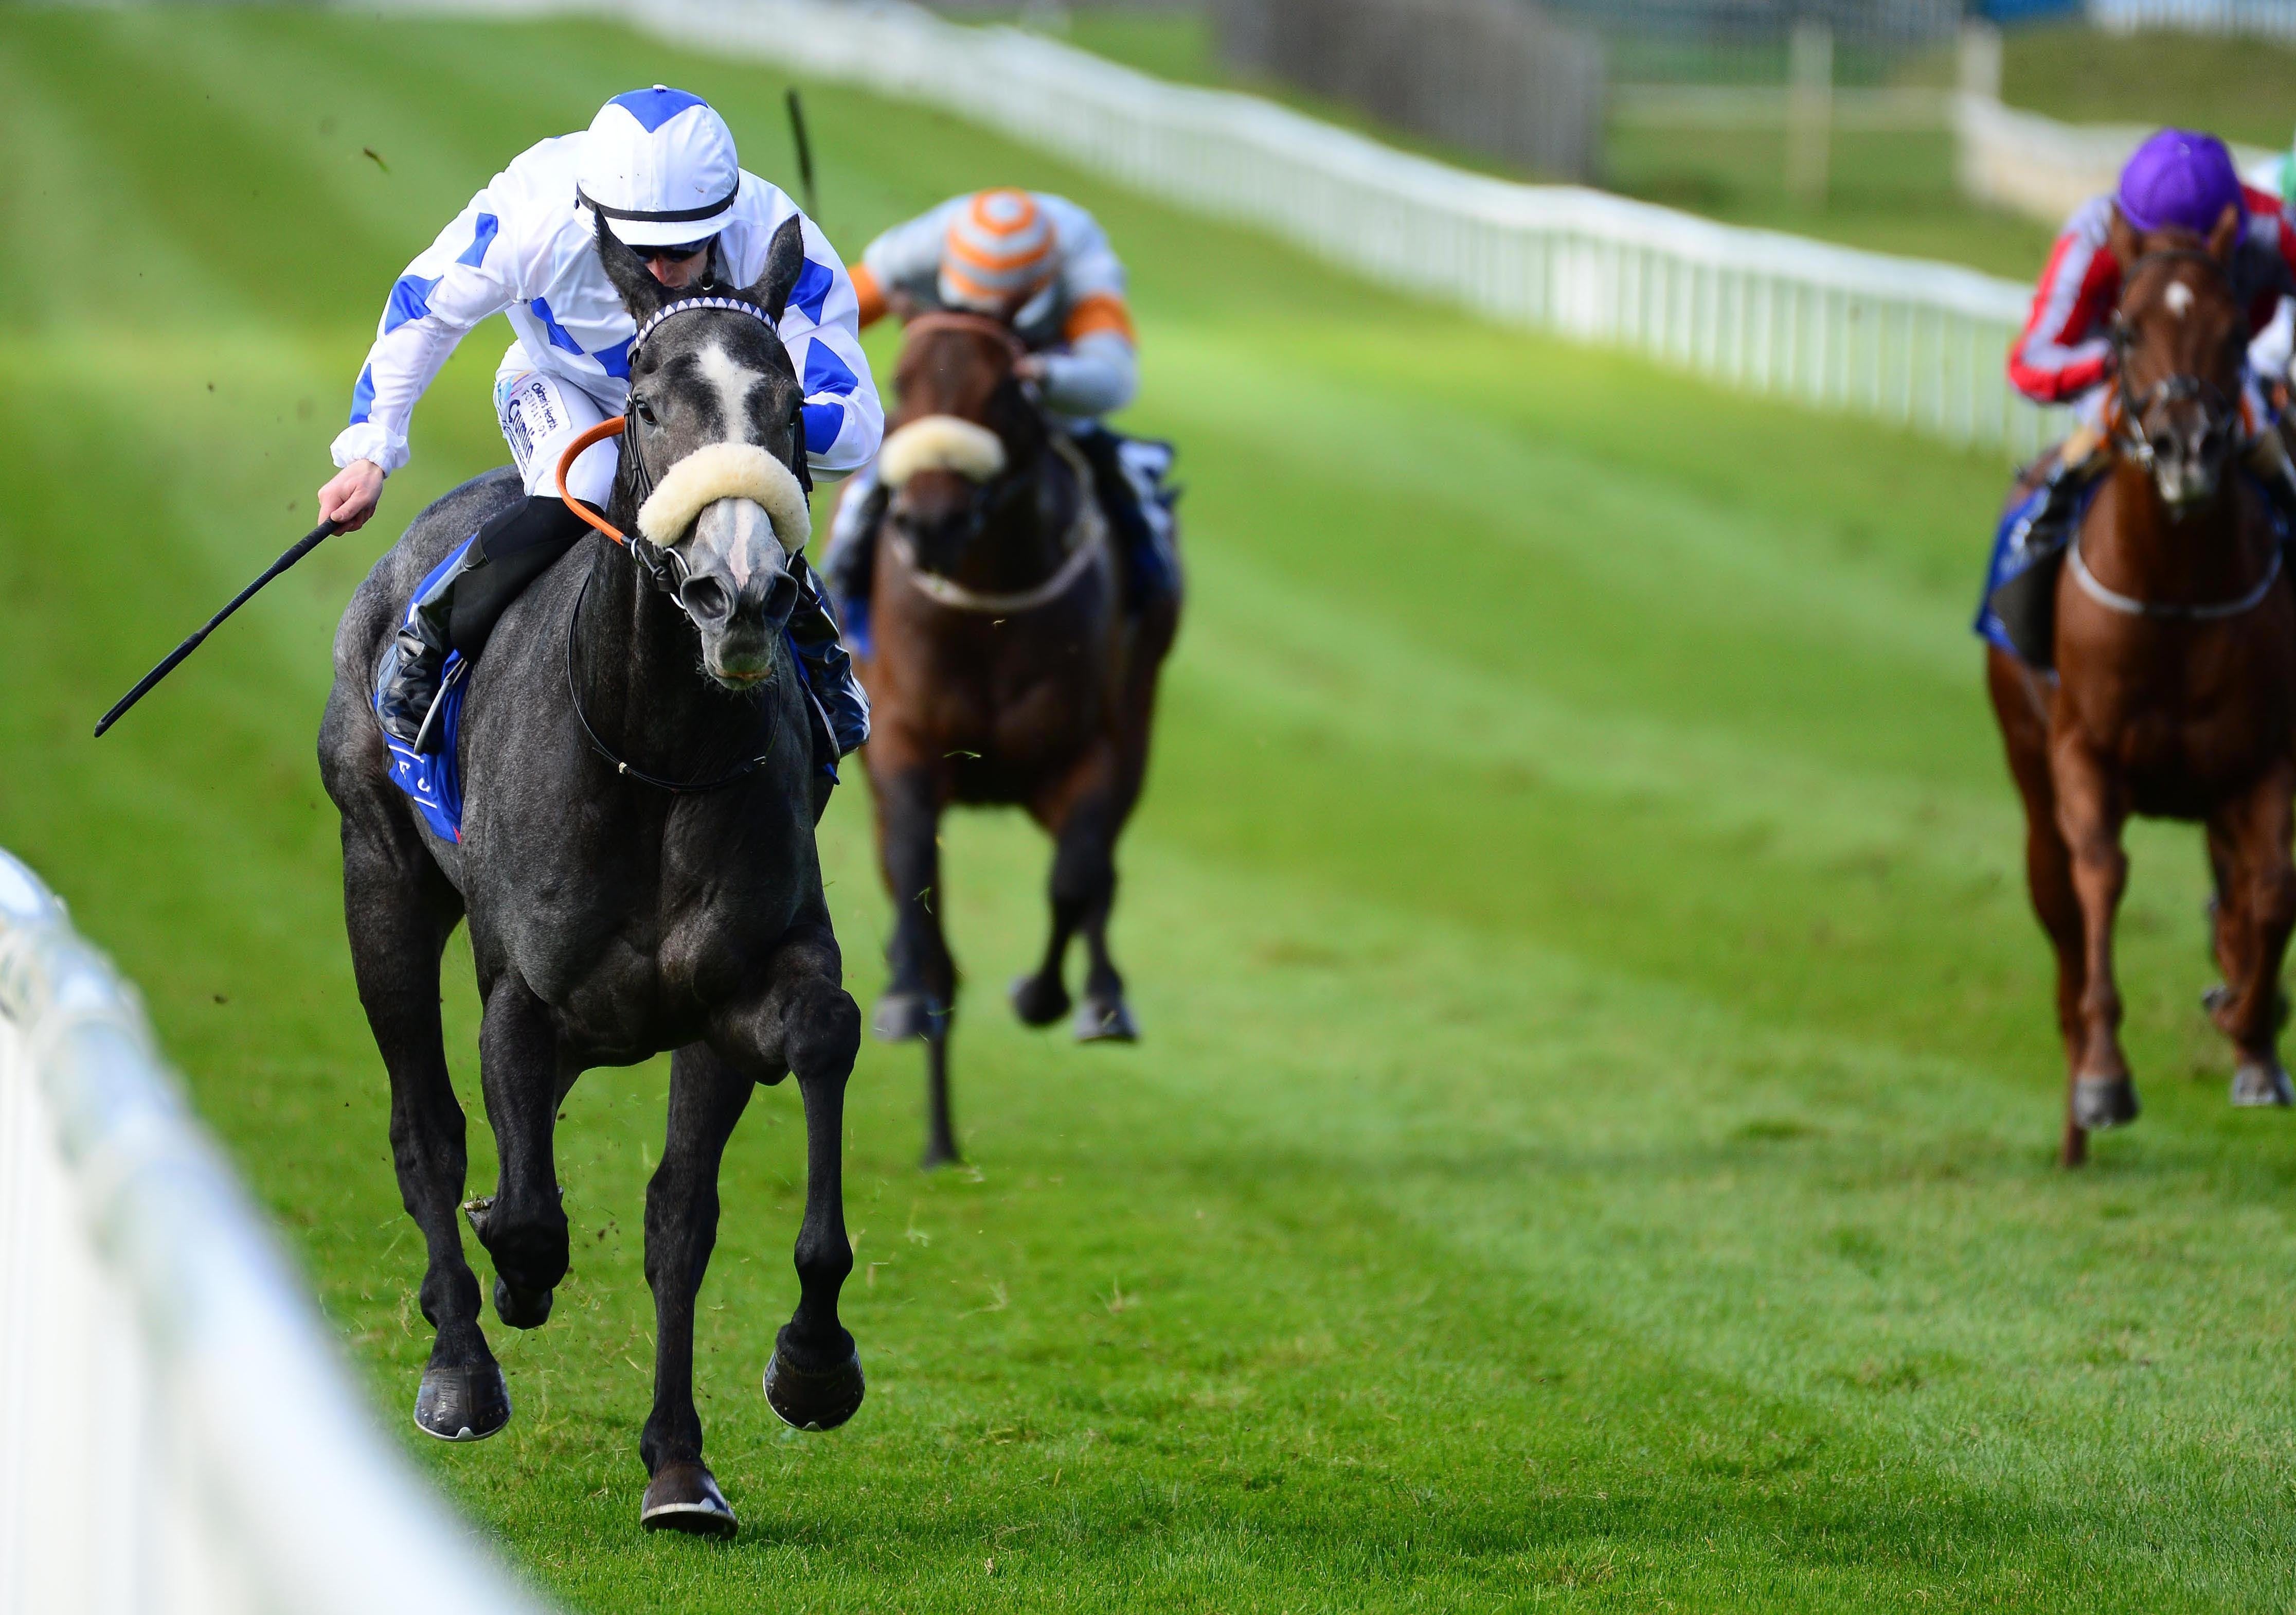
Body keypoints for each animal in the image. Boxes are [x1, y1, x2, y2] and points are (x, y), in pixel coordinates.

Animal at [319, 215, 863, 1543]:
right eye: (651, 401)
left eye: (787, 404)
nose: (740, 589)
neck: (655, 749)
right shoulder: (523, 992)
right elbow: (518, 1203)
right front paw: (508, 1282)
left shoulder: (731, 994)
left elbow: (707, 1188)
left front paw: (794, 1376)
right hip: (381, 880)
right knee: (425, 1128)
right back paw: (461, 1360)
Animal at [845, 312, 1185, 1162]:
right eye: (900, 380)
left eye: (1005, 391)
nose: (930, 523)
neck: (987, 609)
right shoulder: (902, 744)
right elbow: (916, 877)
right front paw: (906, 997)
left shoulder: (1088, 754)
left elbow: (1075, 877)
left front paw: (1045, 994)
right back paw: (939, 1137)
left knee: (1099, 876)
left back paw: (1103, 998)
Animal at [1993, 209, 2296, 1167]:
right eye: (2124, 330)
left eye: (2233, 330)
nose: (2186, 449)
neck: (2175, 592)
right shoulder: (2083, 752)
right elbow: (2101, 873)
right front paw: (2102, 1076)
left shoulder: (2260, 761)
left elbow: (2271, 889)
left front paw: (2252, 1040)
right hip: (2028, 770)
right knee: (2059, 913)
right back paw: (2070, 1130)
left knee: (2237, 895)